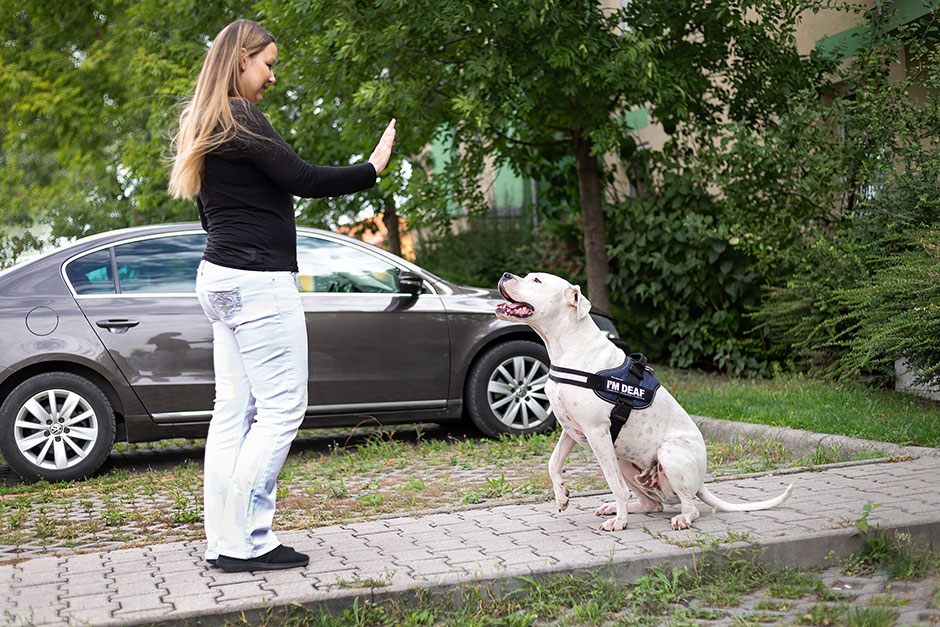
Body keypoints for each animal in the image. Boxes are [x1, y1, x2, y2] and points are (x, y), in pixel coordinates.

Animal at [496, 272, 788, 532]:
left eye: (536, 280)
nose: (505, 274)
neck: (568, 345)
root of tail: (702, 481)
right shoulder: (572, 430)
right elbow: (553, 463)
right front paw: (562, 496)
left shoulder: (596, 432)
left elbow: (614, 484)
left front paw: (620, 523)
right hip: (625, 461)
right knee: (652, 503)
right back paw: (615, 507)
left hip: (667, 453)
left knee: (689, 506)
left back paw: (678, 518)